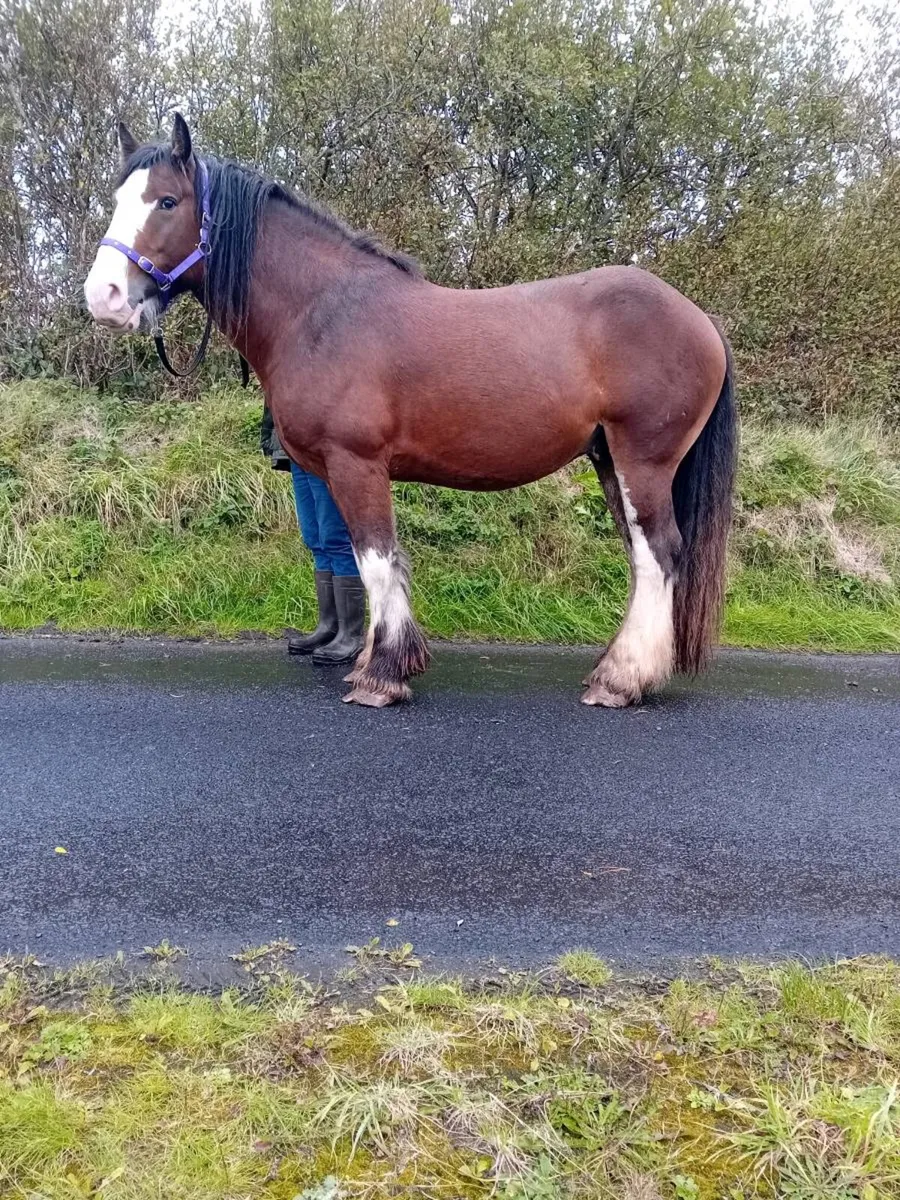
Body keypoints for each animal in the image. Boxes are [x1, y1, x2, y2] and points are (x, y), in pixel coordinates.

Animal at [85, 114, 737, 709]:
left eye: (167, 200)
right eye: (116, 199)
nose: (103, 297)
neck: (322, 311)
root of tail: (700, 318)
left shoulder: (356, 464)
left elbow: (376, 561)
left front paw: (382, 676)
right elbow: (369, 563)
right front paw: (376, 660)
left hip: (642, 461)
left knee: (658, 554)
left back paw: (621, 680)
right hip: (608, 459)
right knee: (642, 556)